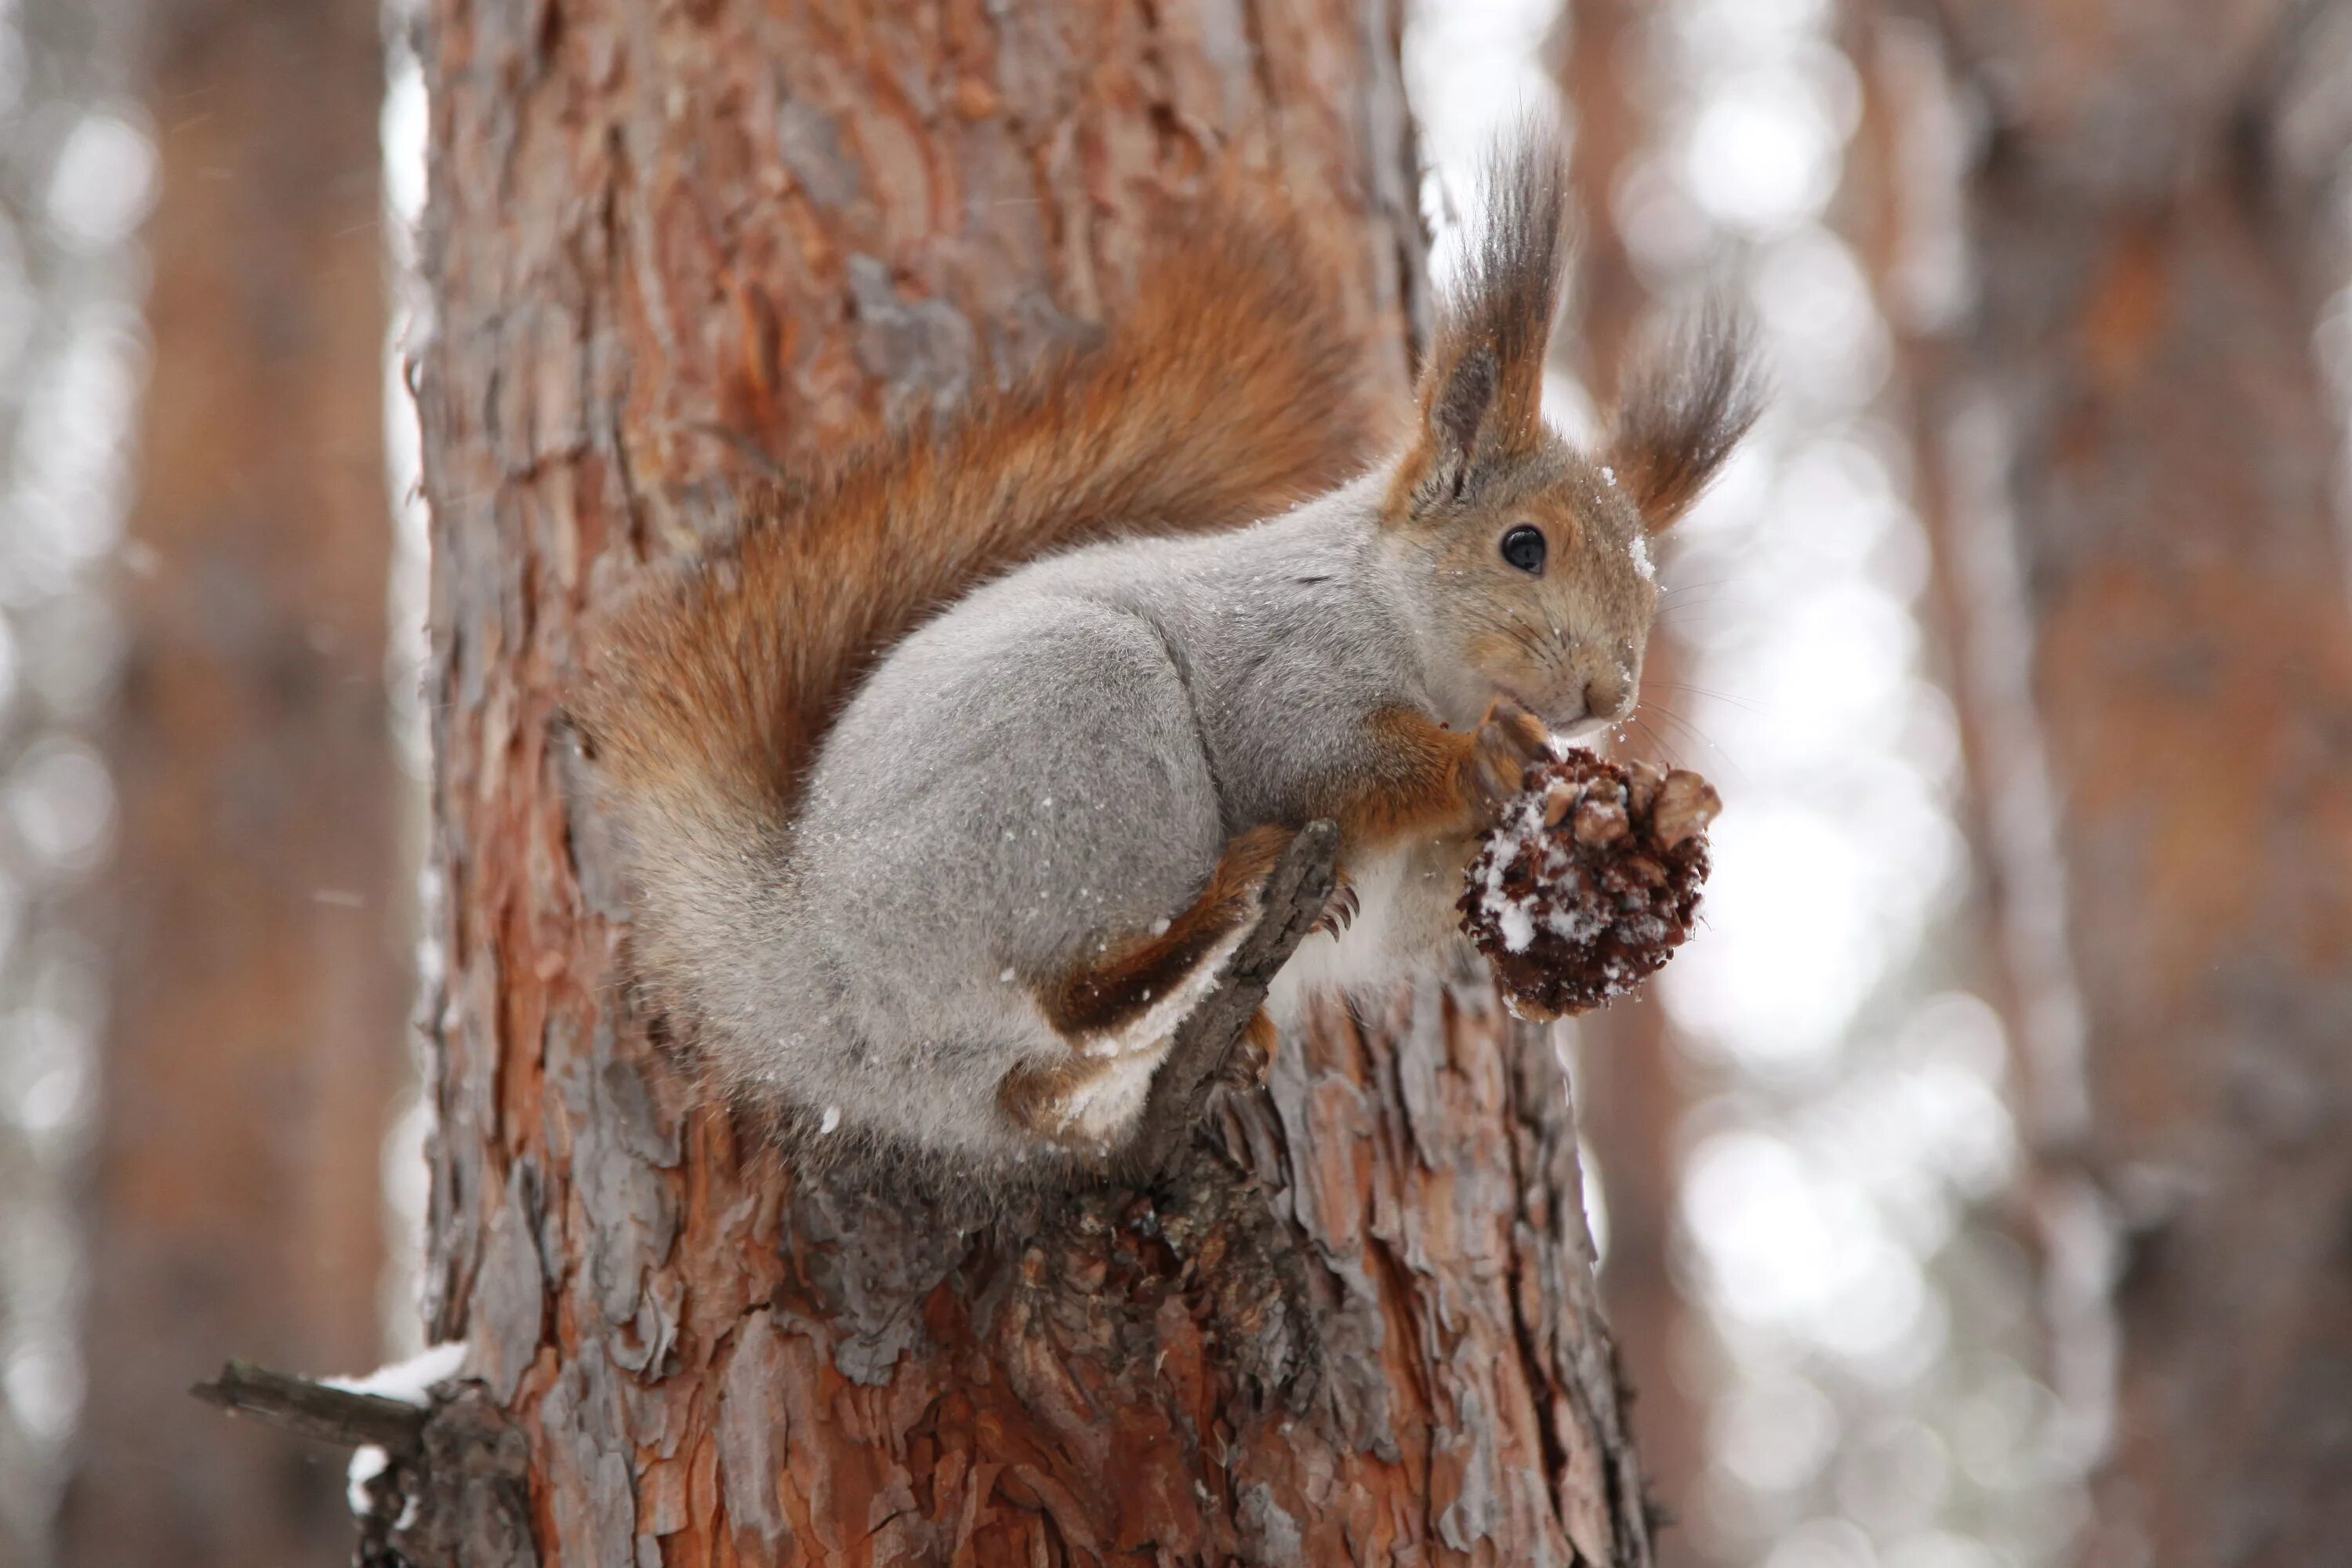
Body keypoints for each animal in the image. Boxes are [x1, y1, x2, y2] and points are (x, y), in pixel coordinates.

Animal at [579, 135, 1759, 1185]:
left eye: (1650, 591)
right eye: (1522, 547)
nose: (1612, 691)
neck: (1398, 618)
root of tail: (814, 963)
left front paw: (1612, 801)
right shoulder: (1284, 665)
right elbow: (1322, 757)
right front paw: (1479, 760)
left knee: (1040, 1082)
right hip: (1080, 733)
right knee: (1073, 995)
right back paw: (1222, 906)